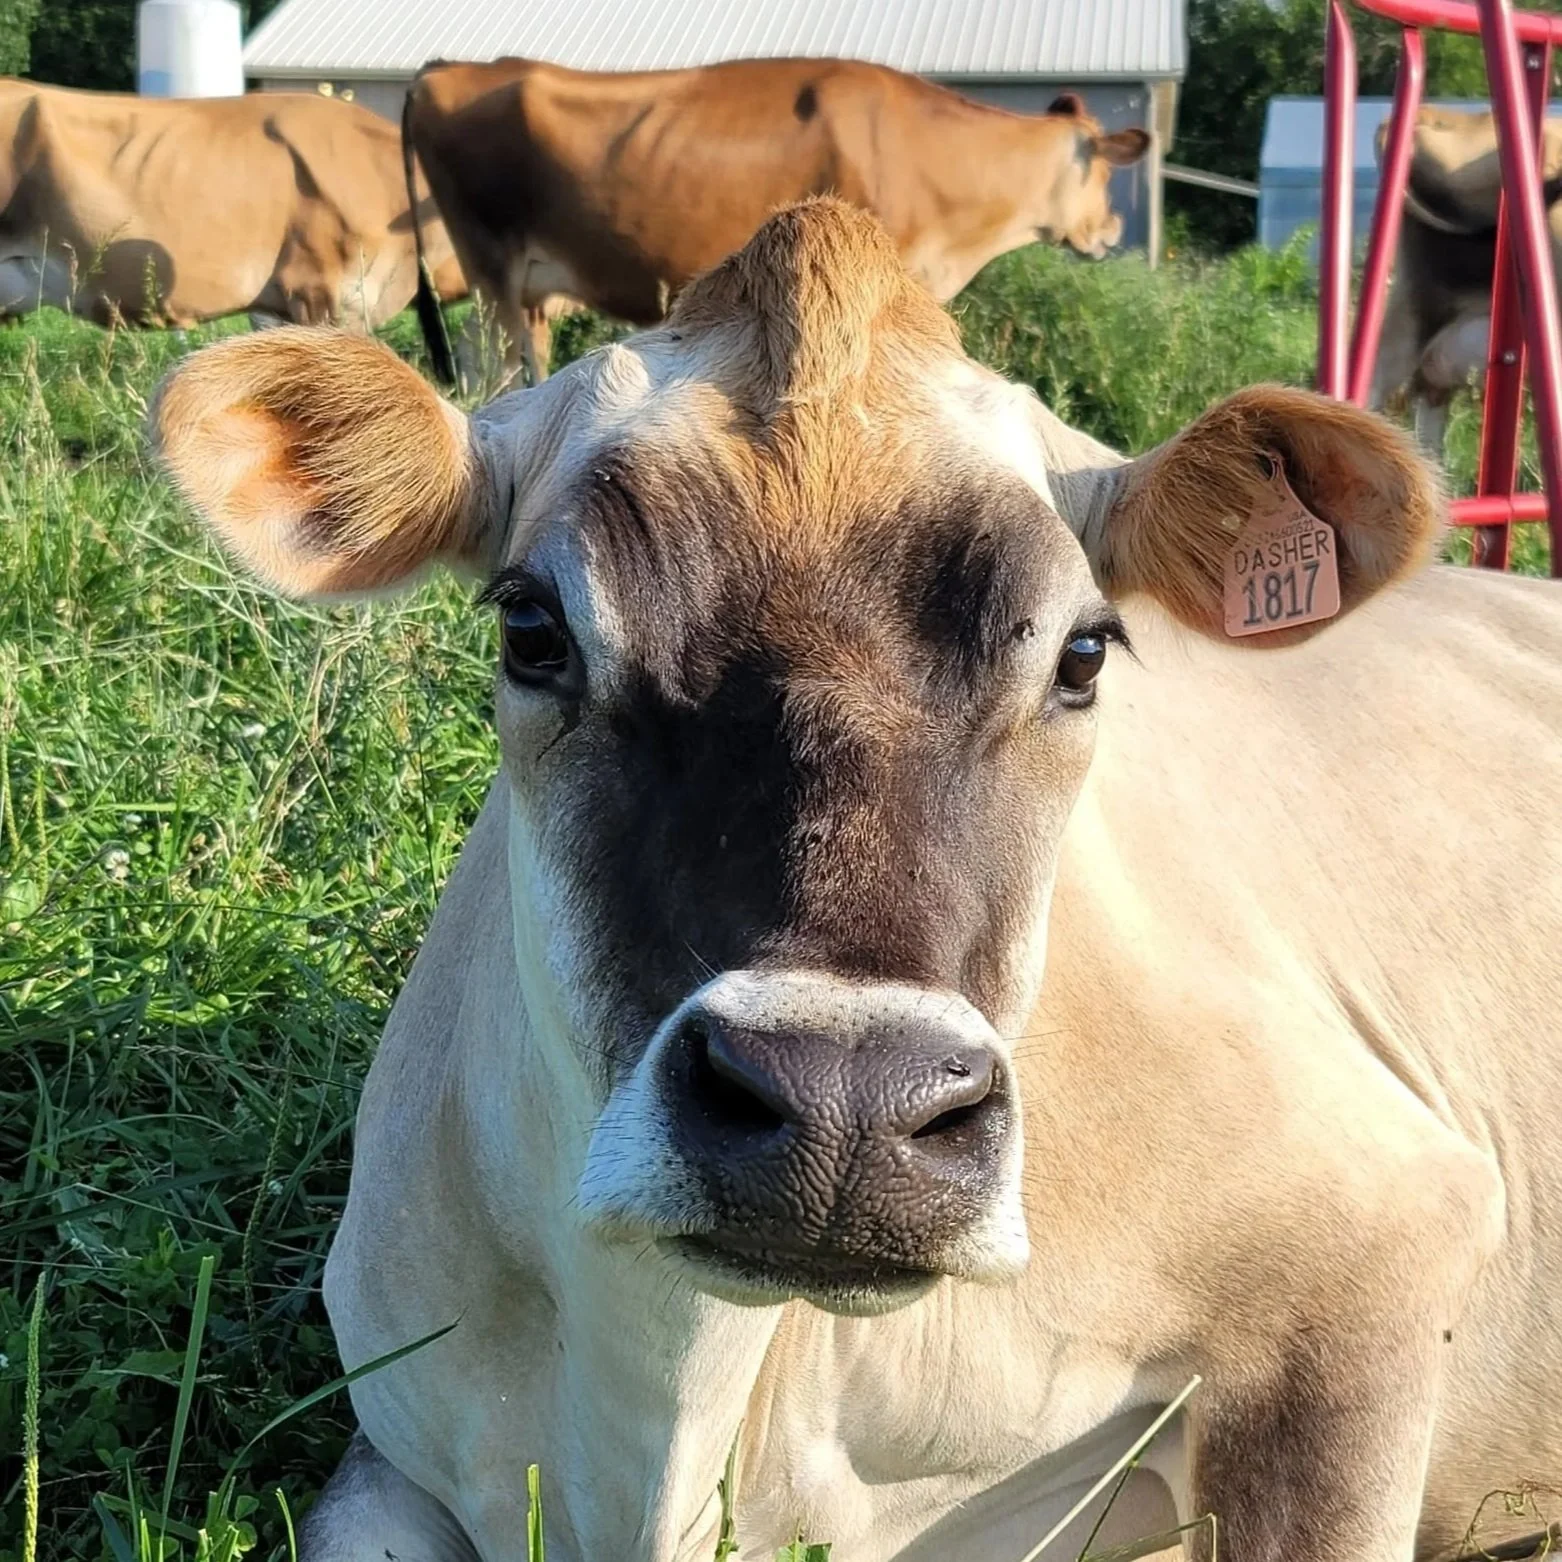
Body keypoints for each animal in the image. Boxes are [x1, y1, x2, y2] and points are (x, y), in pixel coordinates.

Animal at [153, 198, 1562, 1562]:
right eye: (530, 626)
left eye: (1083, 652)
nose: (845, 1106)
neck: (676, 1413)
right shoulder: (391, 1435)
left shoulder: (1377, 1248)